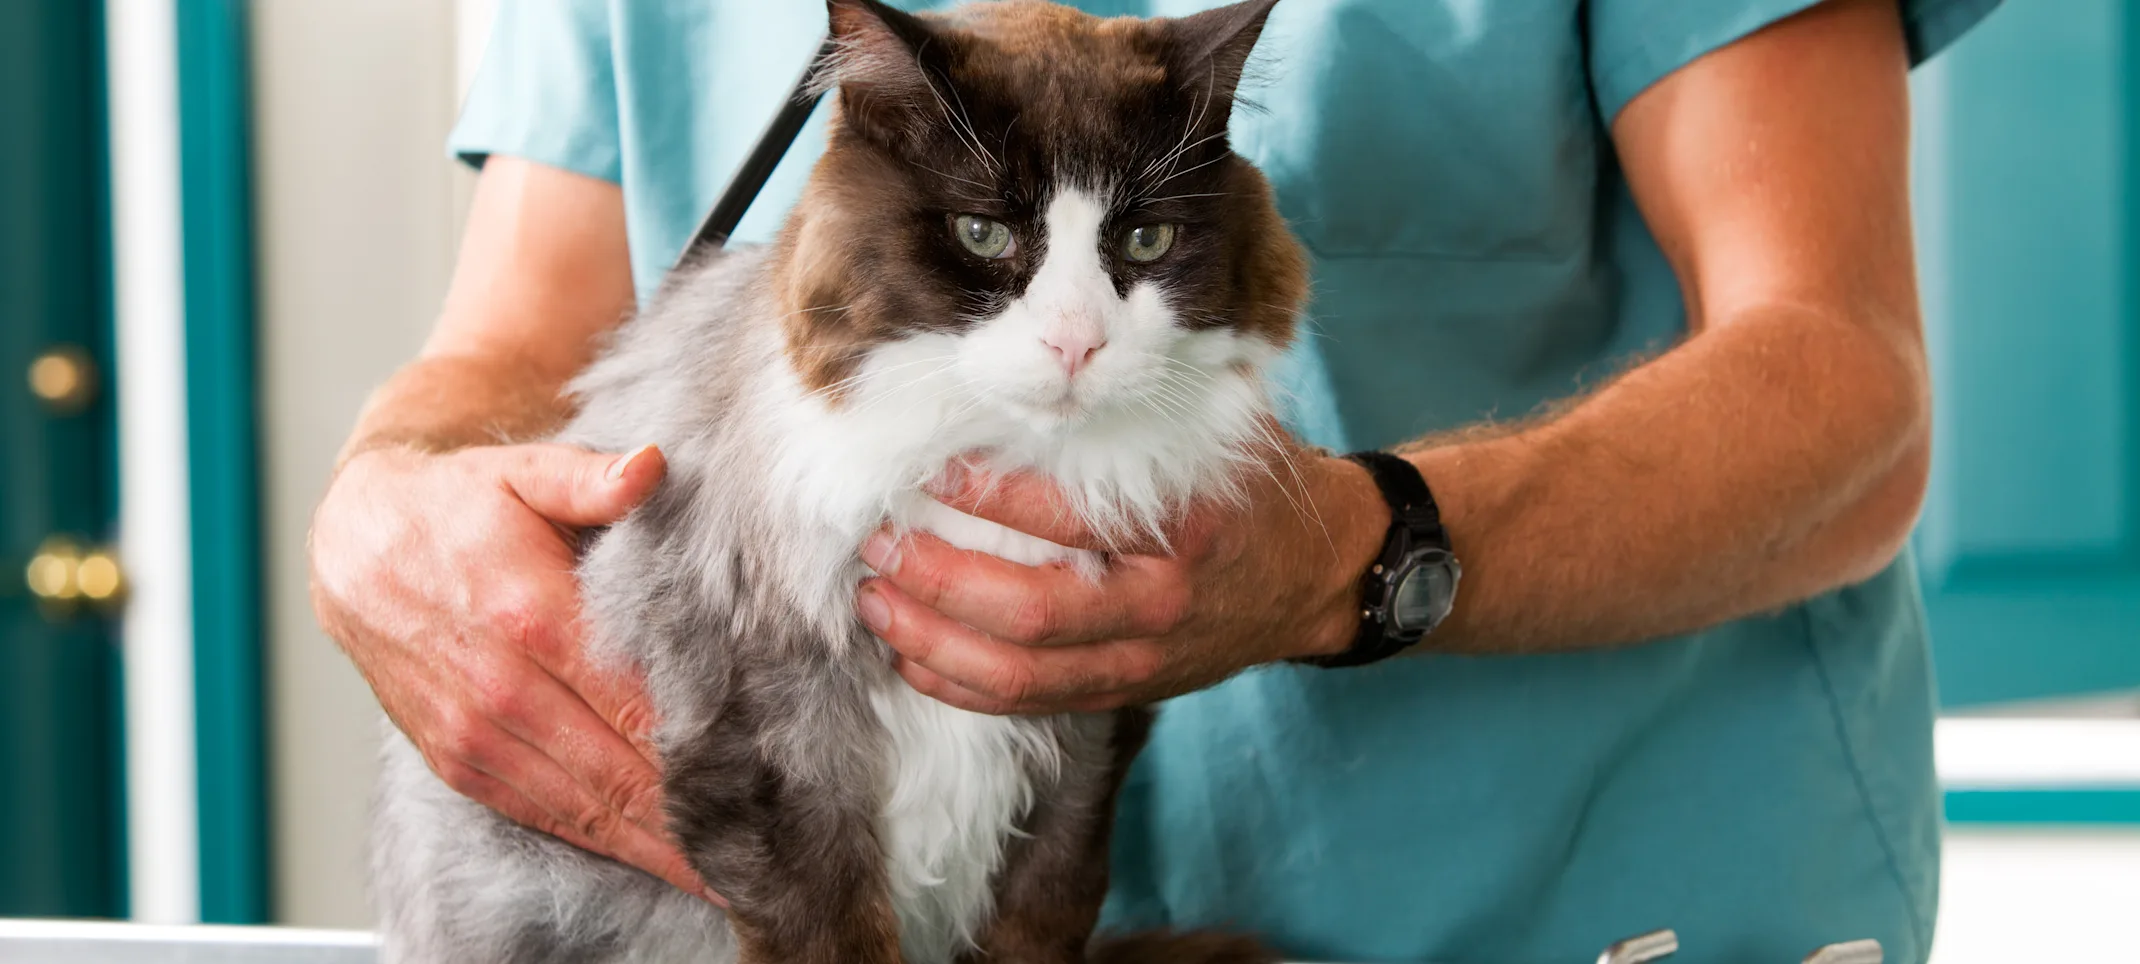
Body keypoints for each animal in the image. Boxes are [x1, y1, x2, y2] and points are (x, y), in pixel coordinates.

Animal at [368, 1, 1301, 964]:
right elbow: (828, 926)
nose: (1076, 342)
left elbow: (1040, 916)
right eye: (982, 234)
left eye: (1146, 239)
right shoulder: (770, 742)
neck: (1002, 465)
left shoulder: (1085, 749)